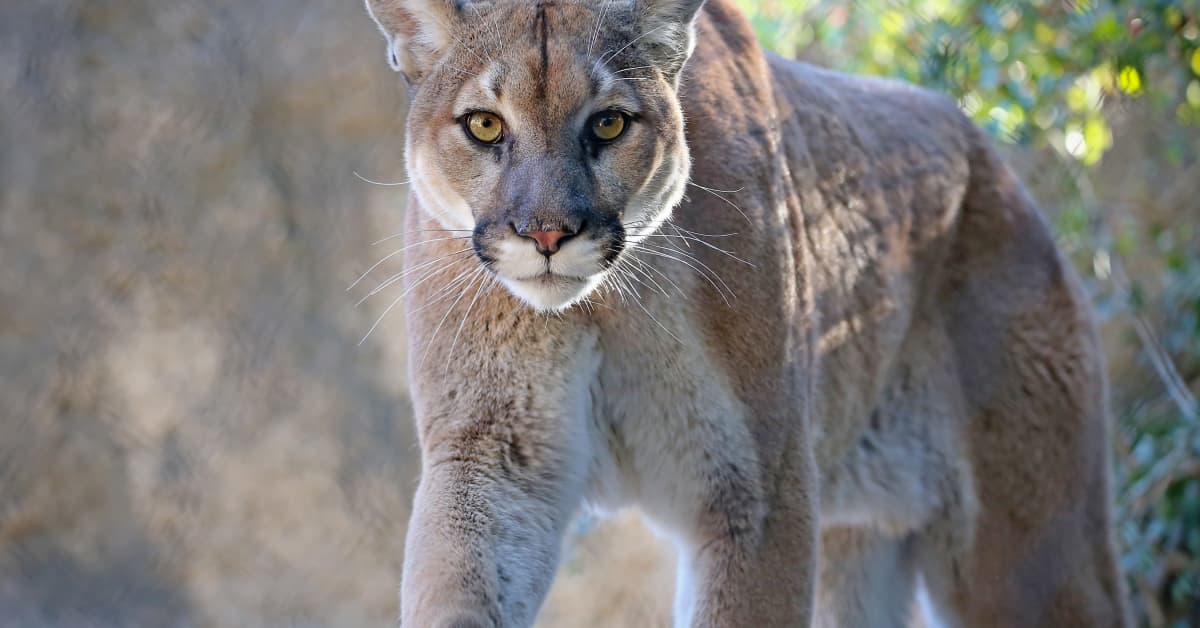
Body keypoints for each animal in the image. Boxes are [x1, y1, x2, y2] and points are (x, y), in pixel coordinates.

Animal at [360, 0, 1128, 624]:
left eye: (608, 123)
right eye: (485, 125)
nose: (548, 235)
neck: (603, 305)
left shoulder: (757, 489)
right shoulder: (494, 456)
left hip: (1031, 553)